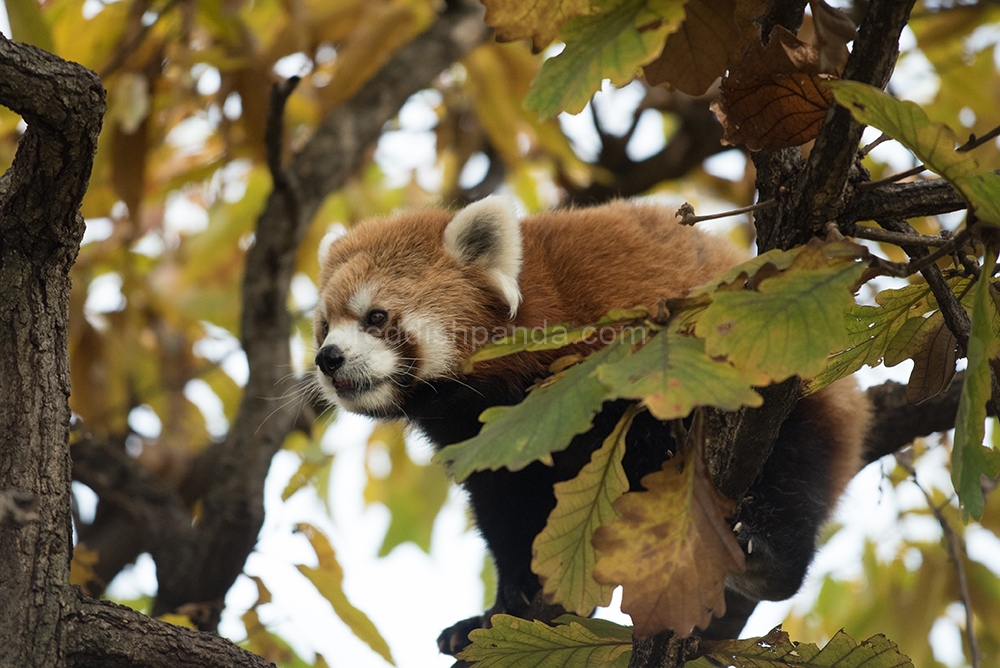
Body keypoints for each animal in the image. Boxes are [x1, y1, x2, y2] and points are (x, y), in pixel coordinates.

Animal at [312, 196, 868, 656]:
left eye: (376, 316)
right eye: (323, 326)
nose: (327, 358)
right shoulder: (488, 442)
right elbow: (507, 514)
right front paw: (501, 609)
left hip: (799, 394)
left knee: (795, 473)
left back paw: (764, 558)